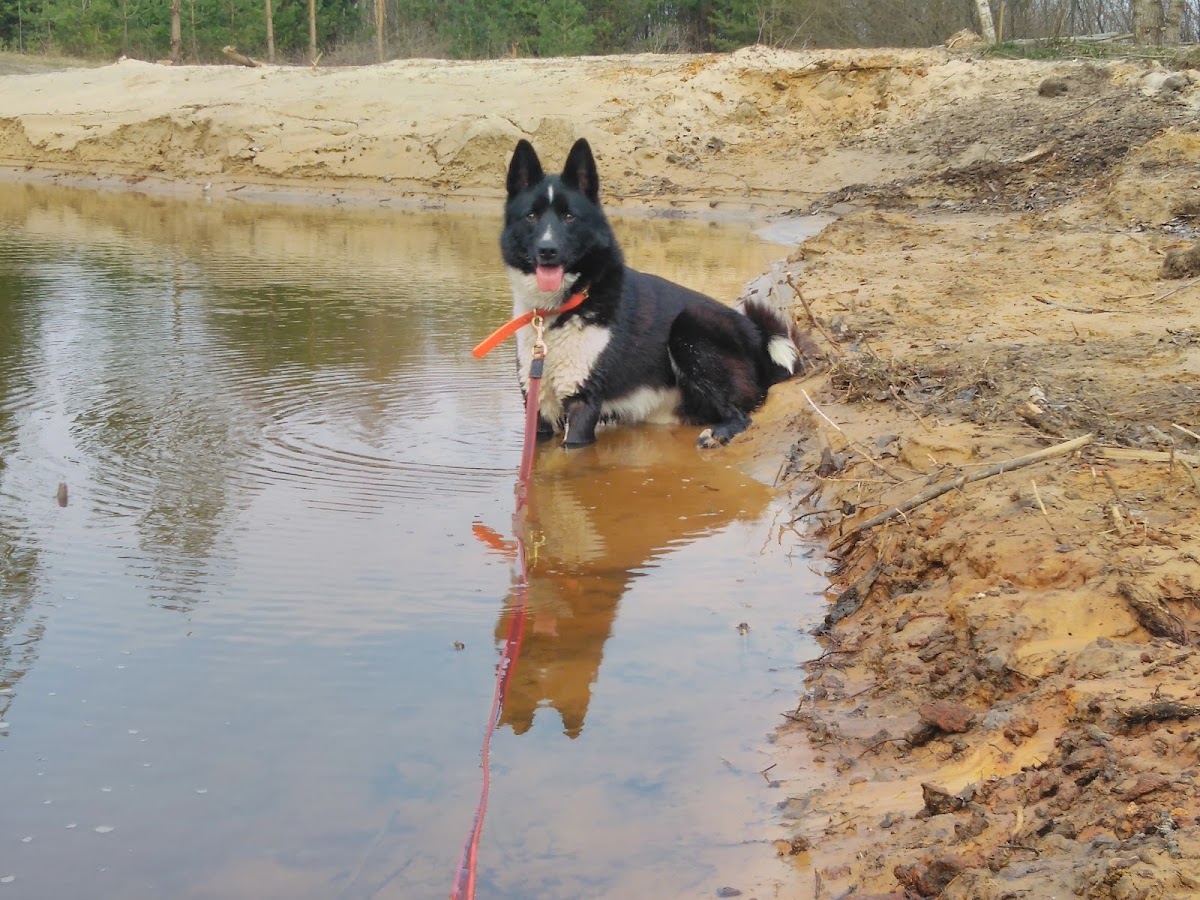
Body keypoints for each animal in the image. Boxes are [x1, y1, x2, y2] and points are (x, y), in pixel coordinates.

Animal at [500, 137, 805, 448]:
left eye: (569, 216)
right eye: (531, 216)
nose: (547, 250)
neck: (561, 308)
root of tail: (758, 339)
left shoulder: (583, 402)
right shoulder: (538, 406)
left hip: (690, 324)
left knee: (742, 415)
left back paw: (718, 433)